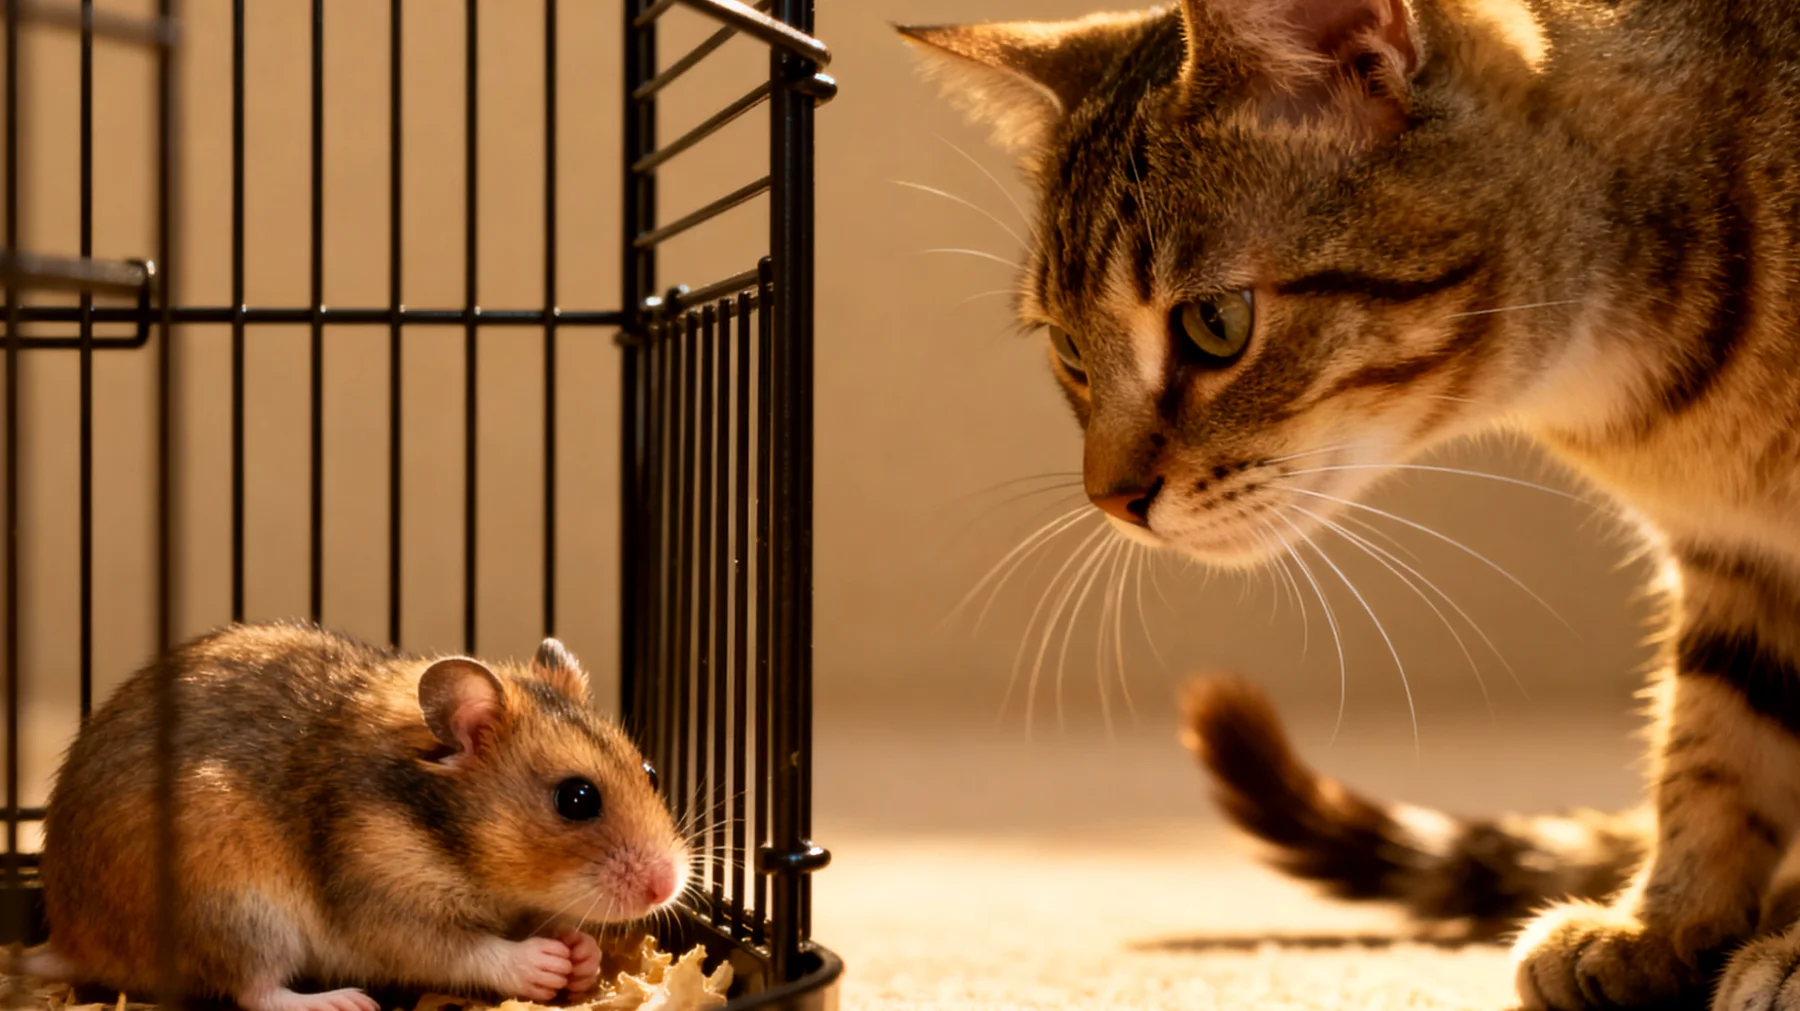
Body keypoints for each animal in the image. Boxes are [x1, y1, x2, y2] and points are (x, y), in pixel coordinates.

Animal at [20, 622, 690, 1011]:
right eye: (577, 799)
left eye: (652, 773)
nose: (668, 887)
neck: (447, 840)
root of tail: (73, 940)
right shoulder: (383, 904)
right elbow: (464, 952)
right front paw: (547, 963)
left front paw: (583, 955)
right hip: (230, 905)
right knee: (255, 990)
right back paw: (342, 1003)